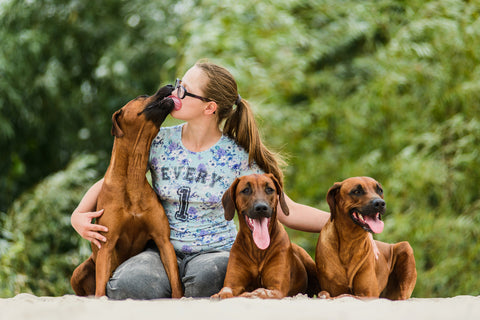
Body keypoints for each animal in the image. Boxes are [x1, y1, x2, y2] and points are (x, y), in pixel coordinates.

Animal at [70, 84, 183, 298]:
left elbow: (176, 284)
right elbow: (100, 290)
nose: (170, 86)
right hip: (80, 271)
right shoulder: (106, 245)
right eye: (142, 96)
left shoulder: (163, 241)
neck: (132, 178)